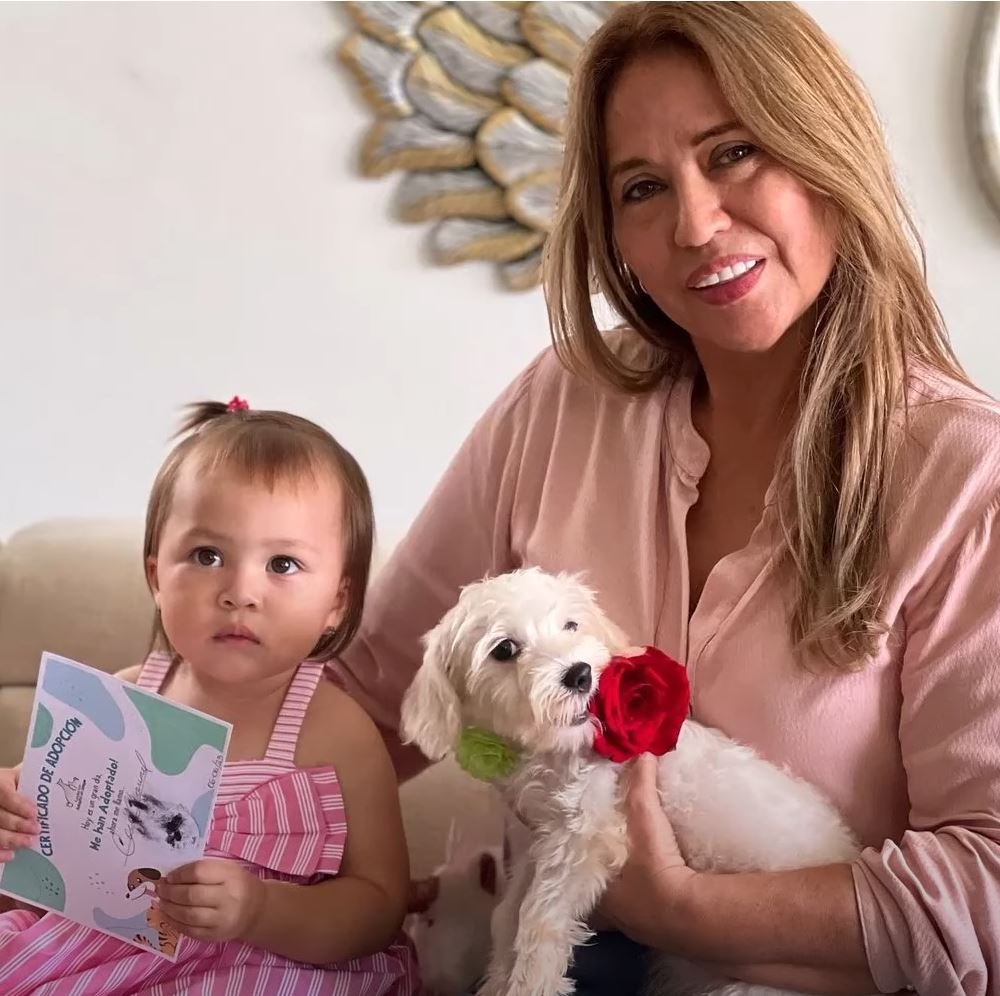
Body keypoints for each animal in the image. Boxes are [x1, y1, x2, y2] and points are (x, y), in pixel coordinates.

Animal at [400, 568, 862, 996]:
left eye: (570, 625)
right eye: (504, 649)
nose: (580, 673)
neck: (557, 753)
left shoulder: (584, 837)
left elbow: (538, 918)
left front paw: (530, 983)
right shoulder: (540, 840)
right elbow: (507, 915)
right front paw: (499, 977)